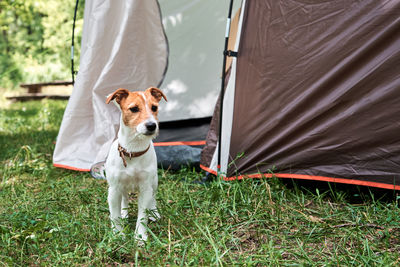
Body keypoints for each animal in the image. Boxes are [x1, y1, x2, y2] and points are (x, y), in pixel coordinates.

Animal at [104, 87, 167, 242]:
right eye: (134, 109)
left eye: (154, 107)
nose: (151, 125)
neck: (133, 151)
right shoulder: (113, 190)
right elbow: (114, 216)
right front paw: (118, 234)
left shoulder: (145, 189)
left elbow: (143, 216)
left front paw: (140, 237)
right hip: (122, 187)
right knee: (125, 198)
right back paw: (124, 212)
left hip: (154, 182)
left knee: (153, 198)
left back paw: (154, 213)